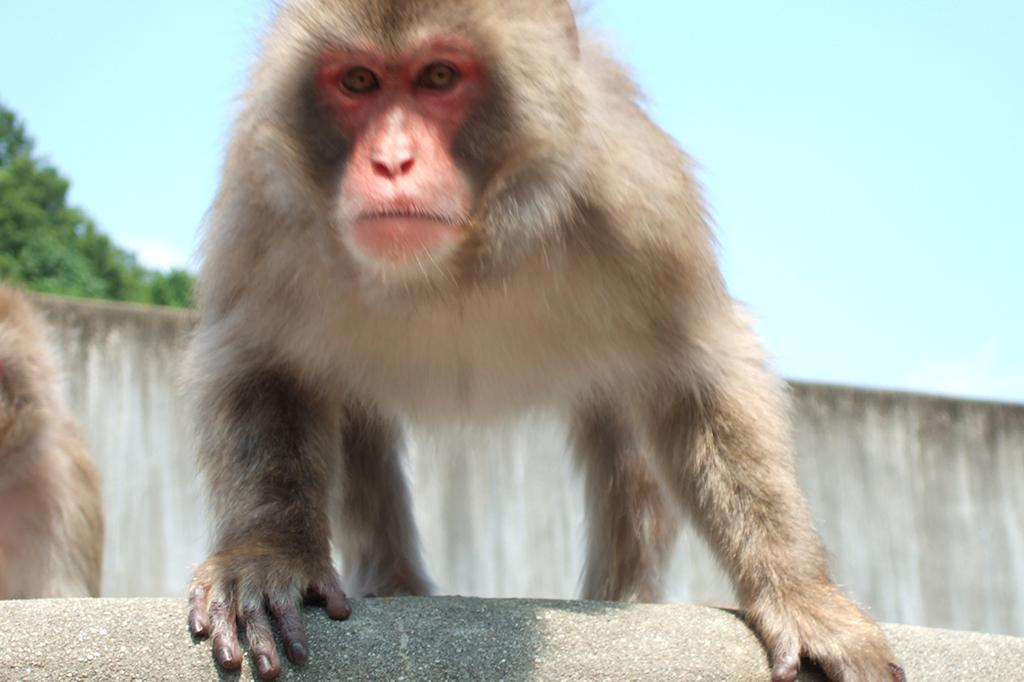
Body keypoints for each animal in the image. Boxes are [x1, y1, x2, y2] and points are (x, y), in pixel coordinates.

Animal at [184, 2, 905, 675]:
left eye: (439, 76)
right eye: (358, 80)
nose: (391, 161)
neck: (457, 262)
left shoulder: (637, 206)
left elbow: (698, 374)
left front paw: (803, 597)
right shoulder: (265, 211)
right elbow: (261, 365)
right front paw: (268, 559)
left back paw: (626, 596)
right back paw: (395, 586)